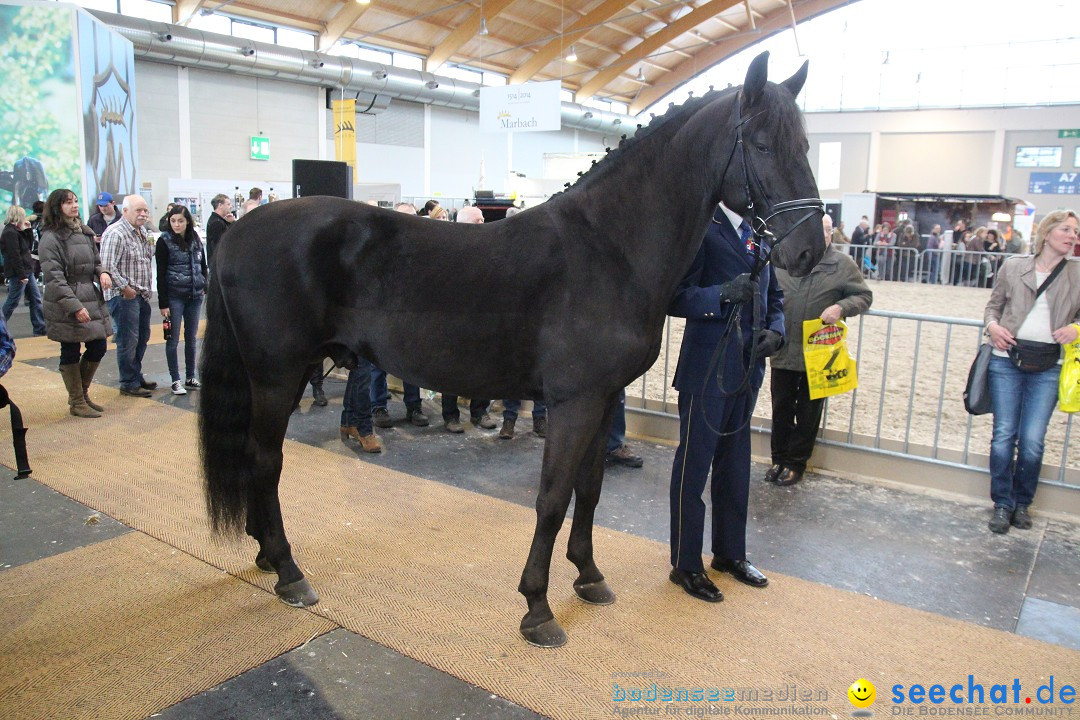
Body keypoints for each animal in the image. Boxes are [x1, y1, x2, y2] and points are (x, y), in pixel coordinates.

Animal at [203, 50, 820, 647]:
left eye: (806, 145)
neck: (608, 247)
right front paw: (538, 608)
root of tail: (236, 231)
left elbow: (589, 491)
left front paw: (589, 577)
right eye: (761, 144)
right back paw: (289, 572)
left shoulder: (603, 400)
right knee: (265, 460)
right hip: (276, 375)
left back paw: (266, 554)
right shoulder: (573, 402)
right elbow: (552, 498)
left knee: (258, 461)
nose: (810, 250)